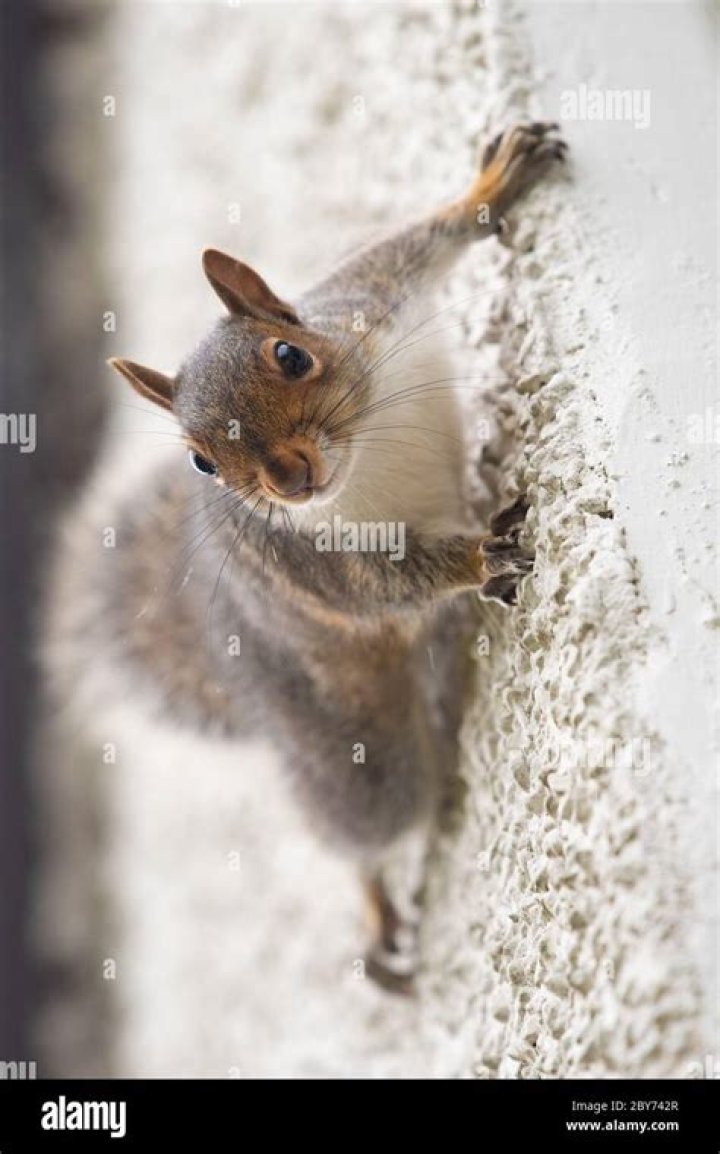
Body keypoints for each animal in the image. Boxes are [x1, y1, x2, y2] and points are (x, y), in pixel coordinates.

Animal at [49, 122, 567, 994]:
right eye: (201, 462)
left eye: (290, 354)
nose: (289, 479)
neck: (360, 457)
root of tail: (244, 678)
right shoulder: (307, 565)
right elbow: (383, 588)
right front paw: (480, 556)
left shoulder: (370, 295)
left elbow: (415, 242)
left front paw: (492, 184)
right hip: (356, 756)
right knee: (367, 832)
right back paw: (377, 915)